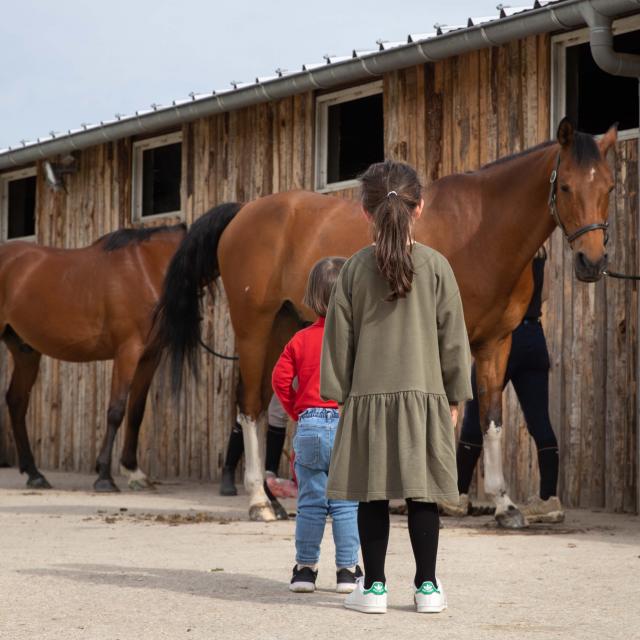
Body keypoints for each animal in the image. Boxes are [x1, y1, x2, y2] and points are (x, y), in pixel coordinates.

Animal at [0, 222, 185, 492]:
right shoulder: (127, 351)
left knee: (16, 401)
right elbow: (116, 410)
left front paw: (134, 472)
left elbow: (136, 411)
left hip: (26, 352)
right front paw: (105, 477)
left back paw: (35, 474)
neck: (148, 267)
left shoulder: (150, 356)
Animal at [154, 119, 616, 524]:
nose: (591, 262)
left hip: (281, 328)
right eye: (566, 186)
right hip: (254, 327)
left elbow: (491, 421)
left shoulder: (496, 345)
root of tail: (242, 212)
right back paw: (258, 502)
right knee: (249, 407)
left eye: (609, 187)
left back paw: (275, 500)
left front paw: (504, 506)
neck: (481, 230)